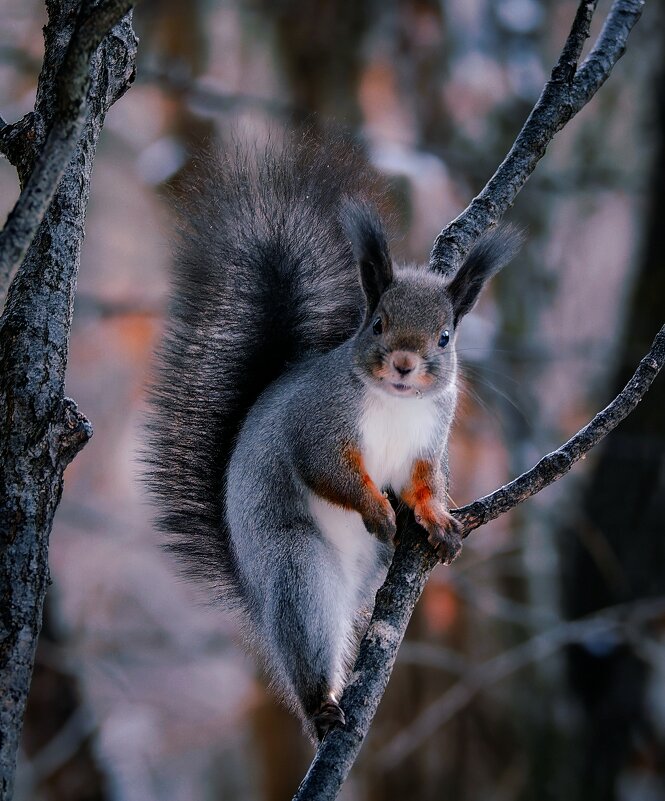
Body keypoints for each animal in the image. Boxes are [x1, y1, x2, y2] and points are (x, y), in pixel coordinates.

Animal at [145, 136, 520, 736]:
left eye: (445, 337)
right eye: (378, 323)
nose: (405, 364)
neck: (395, 403)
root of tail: (253, 590)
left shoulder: (429, 440)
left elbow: (424, 483)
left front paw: (436, 520)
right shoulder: (317, 426)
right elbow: (329, 472)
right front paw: (377, 508)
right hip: (296, 568)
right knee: (305, 638)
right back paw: (320, 705)